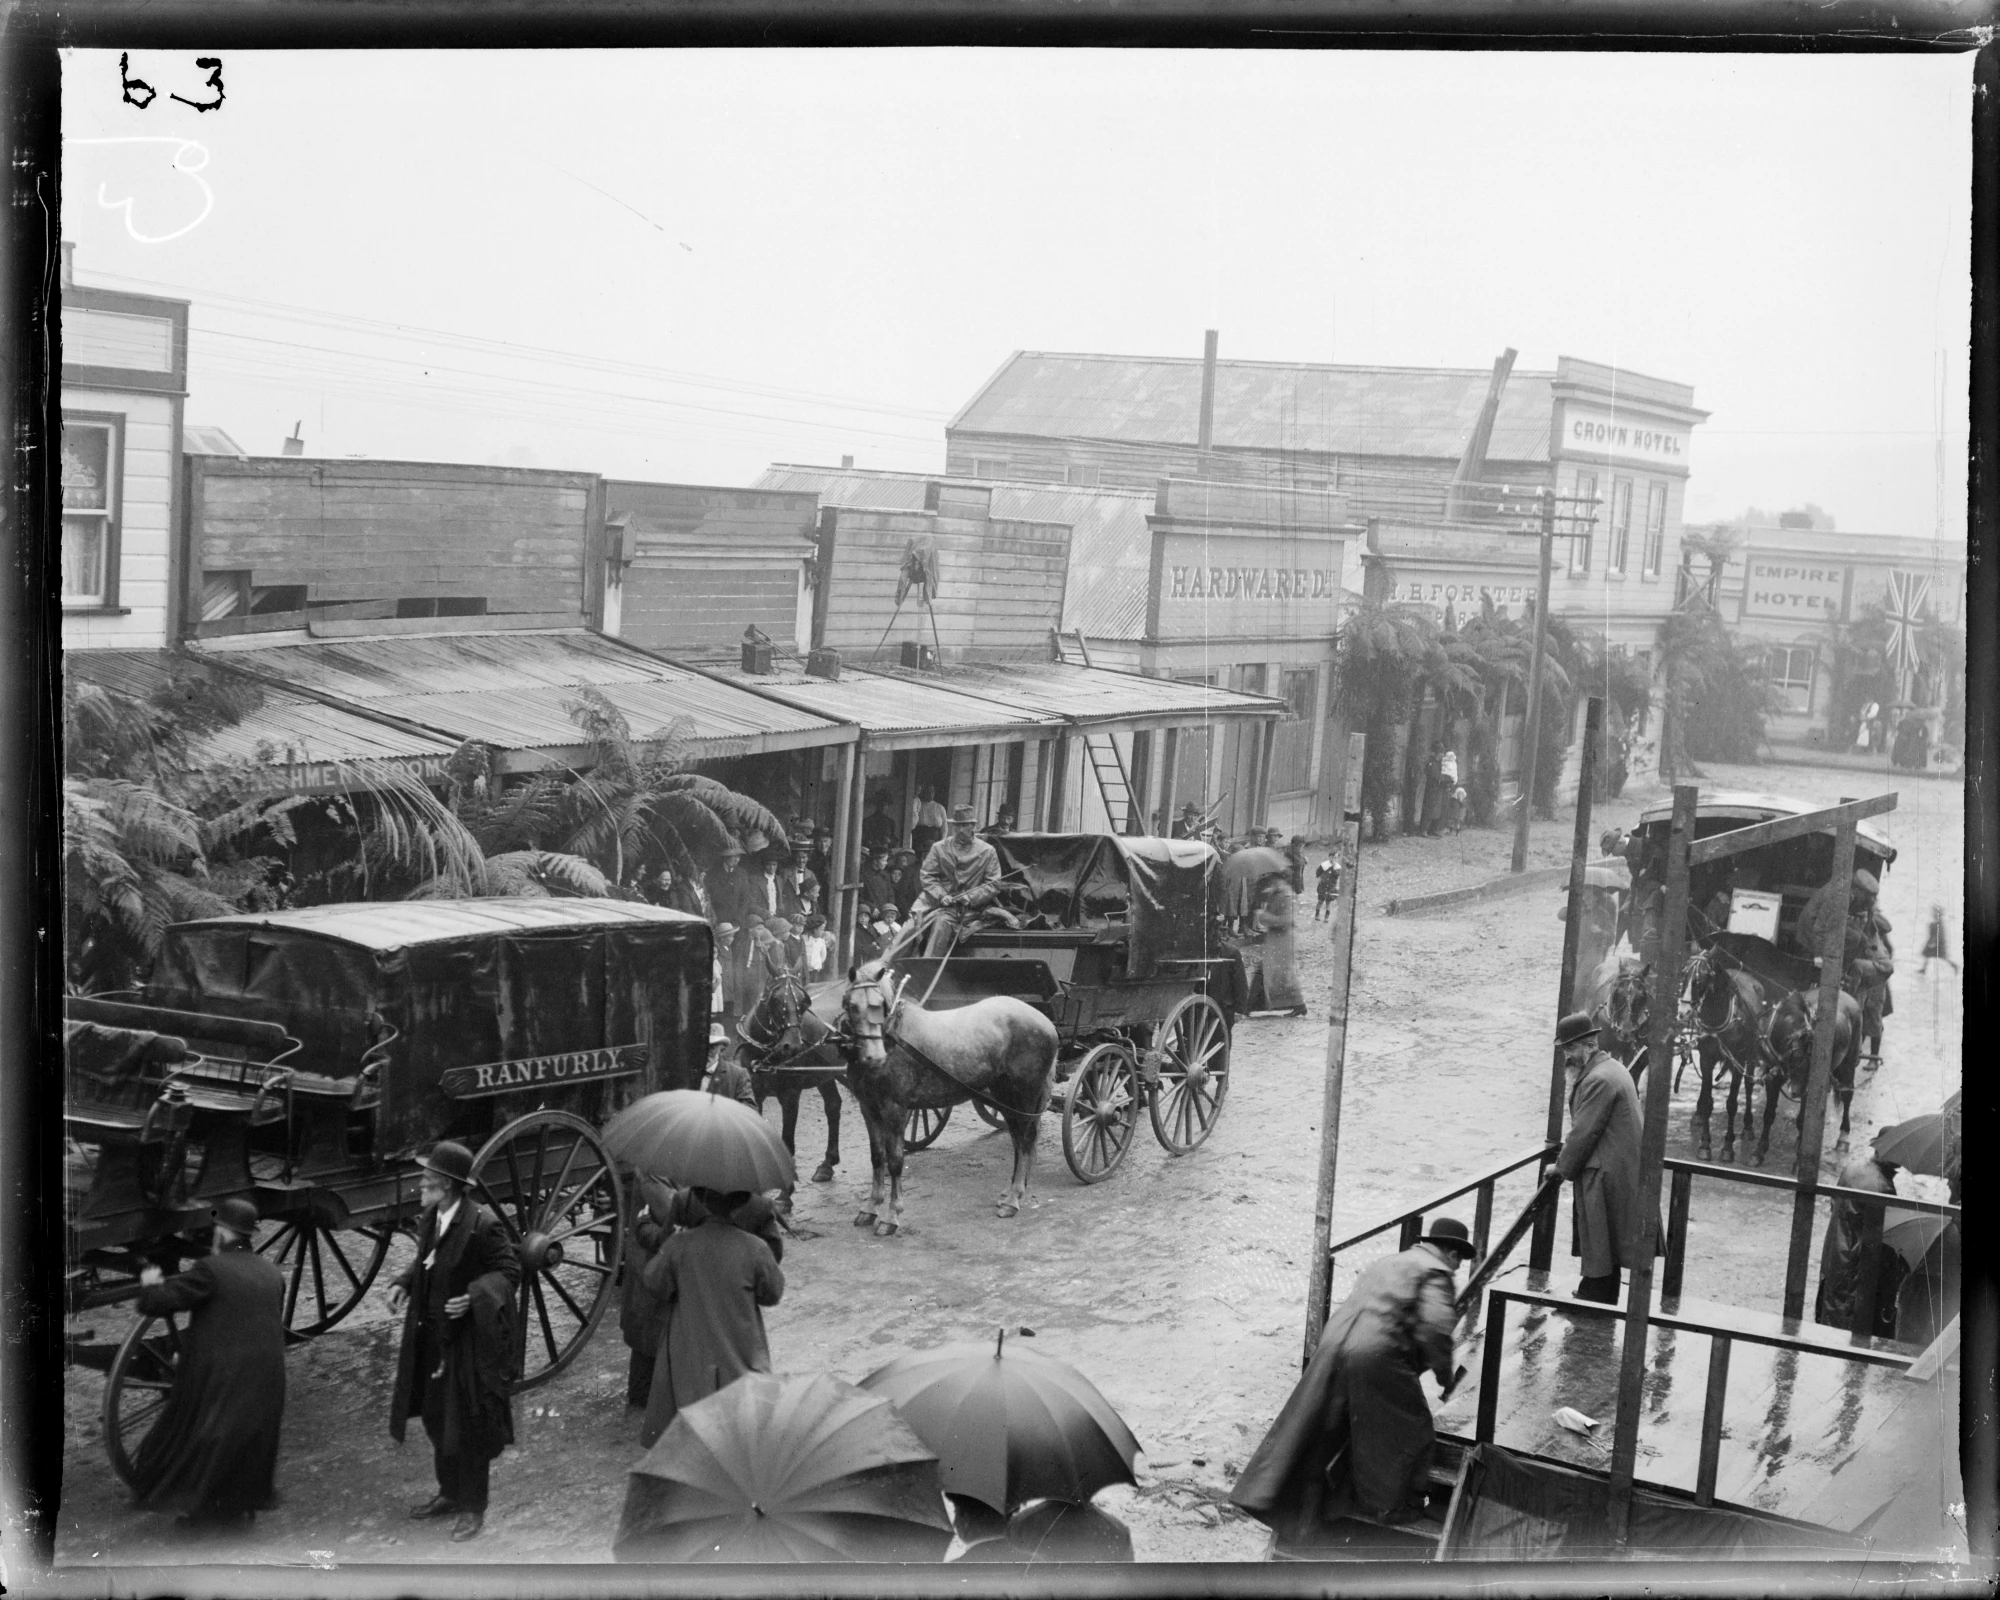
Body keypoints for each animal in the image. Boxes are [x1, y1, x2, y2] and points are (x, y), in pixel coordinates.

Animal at [744, 976, 852, 1184]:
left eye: (804, 1002)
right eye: (775, 1000)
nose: (792, 1046)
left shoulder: (790, 1095)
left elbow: (787, 1142)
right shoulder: (754, 1093)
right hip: (825, 1074)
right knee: (833, 1105)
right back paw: (827, 1164)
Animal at [836, 964, 1064, 1240]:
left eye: (879, 1004)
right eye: (852, 1005)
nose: (874, 1057)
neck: (893, 1038)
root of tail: (1046, 1023)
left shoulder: (895, 1110)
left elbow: (895, 1162)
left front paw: (891, 1216)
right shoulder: (868, 1108)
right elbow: (877, 1158)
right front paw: (870, 1208)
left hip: (1026, 1095)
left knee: (1026, 1141)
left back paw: (1013, 1199)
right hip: (1005, 1096)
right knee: (1019, 1141)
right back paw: (1011, 1193)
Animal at [1672, 952, 1784, 1160]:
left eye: (1703, 976)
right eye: (1684, 972)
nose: (1683, 1012)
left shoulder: (1737, 1059)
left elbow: (1732, 1103)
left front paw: (1727, 1147)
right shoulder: (1706, 1059)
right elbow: (1708, 1102)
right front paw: (1705, 1145)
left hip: (1750, 1056)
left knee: (1748, 1086)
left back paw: (1748, 1126)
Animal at [1768, 988, 1856, 1152]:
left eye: (1808, 1061)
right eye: (1790, 1061)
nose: (1795, 1091)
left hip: (1849, 1061)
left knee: (1847, 1094)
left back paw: (1843, 1135)